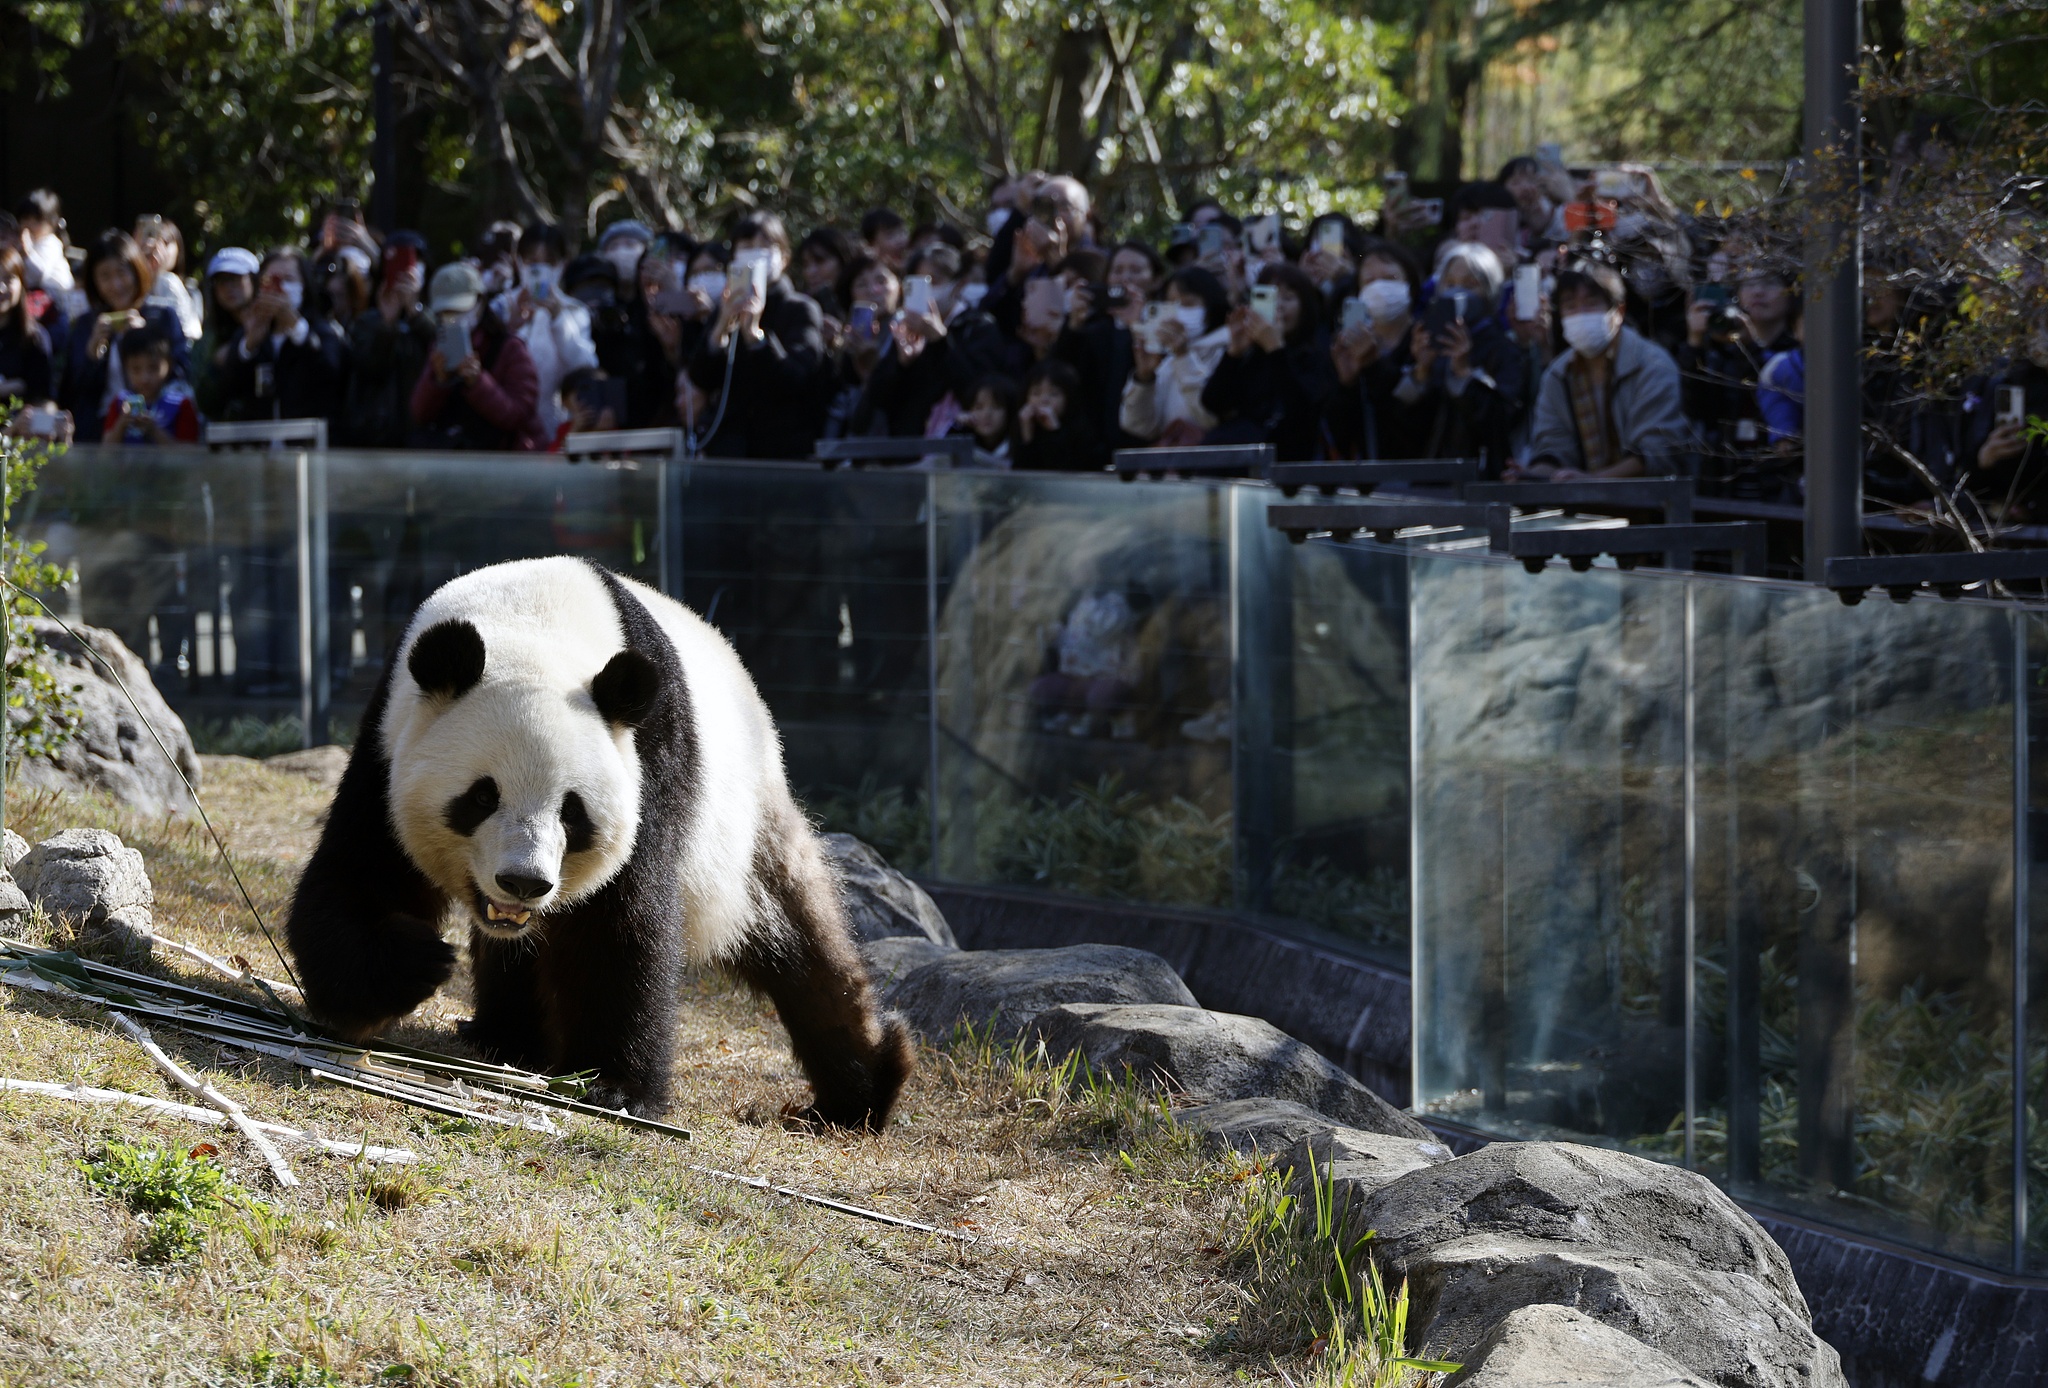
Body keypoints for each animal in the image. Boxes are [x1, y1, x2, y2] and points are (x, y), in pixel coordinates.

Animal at [284, 555, 913, 1126]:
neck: (533, 623)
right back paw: (505, 1038)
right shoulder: (387, 744)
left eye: (572, 811)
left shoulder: (648, 763)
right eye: (482, 797)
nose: (524, 882)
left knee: (800, 938)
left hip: (742, 819)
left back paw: (858, 1095)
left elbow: (619, 925)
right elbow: (360, 878)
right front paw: (412, 963)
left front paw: (615, 1088)